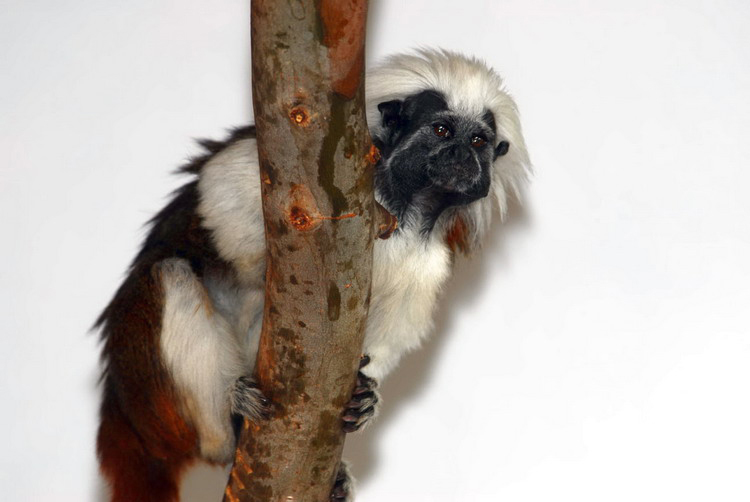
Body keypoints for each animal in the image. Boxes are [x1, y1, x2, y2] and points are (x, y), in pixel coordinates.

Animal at [95, 48, 528, 502]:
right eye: (443, 130)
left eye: (478, 141)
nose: (461, 155)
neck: (404, 203)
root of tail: (121, 410)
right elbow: (221, 193)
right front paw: (261, 261)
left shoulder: (427, 259)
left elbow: (390, 333)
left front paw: (366, 396)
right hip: (151, 394)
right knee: (169, 274)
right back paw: (228, 420)